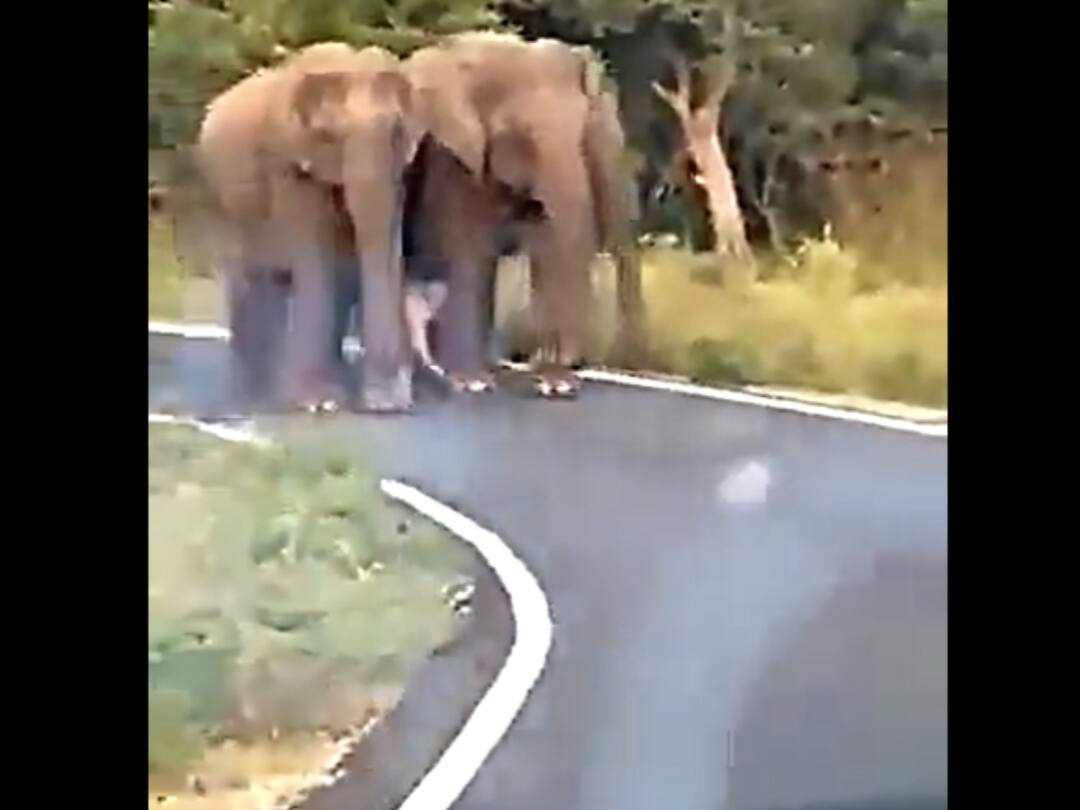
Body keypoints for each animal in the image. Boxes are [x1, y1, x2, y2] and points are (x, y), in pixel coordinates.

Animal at [196, 43, 425, 412]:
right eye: (329, 136)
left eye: (397, 132)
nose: (395, 401)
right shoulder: (288, 165)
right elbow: (315, 253)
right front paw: (317, 402)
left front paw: (384, 401)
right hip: (221, 198)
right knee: (248, 278)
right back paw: (253, 393)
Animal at [402, 33, 644, 397]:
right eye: (518, 135)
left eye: (582, 134)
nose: (578, 362)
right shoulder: (452, 161)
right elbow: (468, 251)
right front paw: (471, 382)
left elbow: (548, 242)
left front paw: (555, 386)